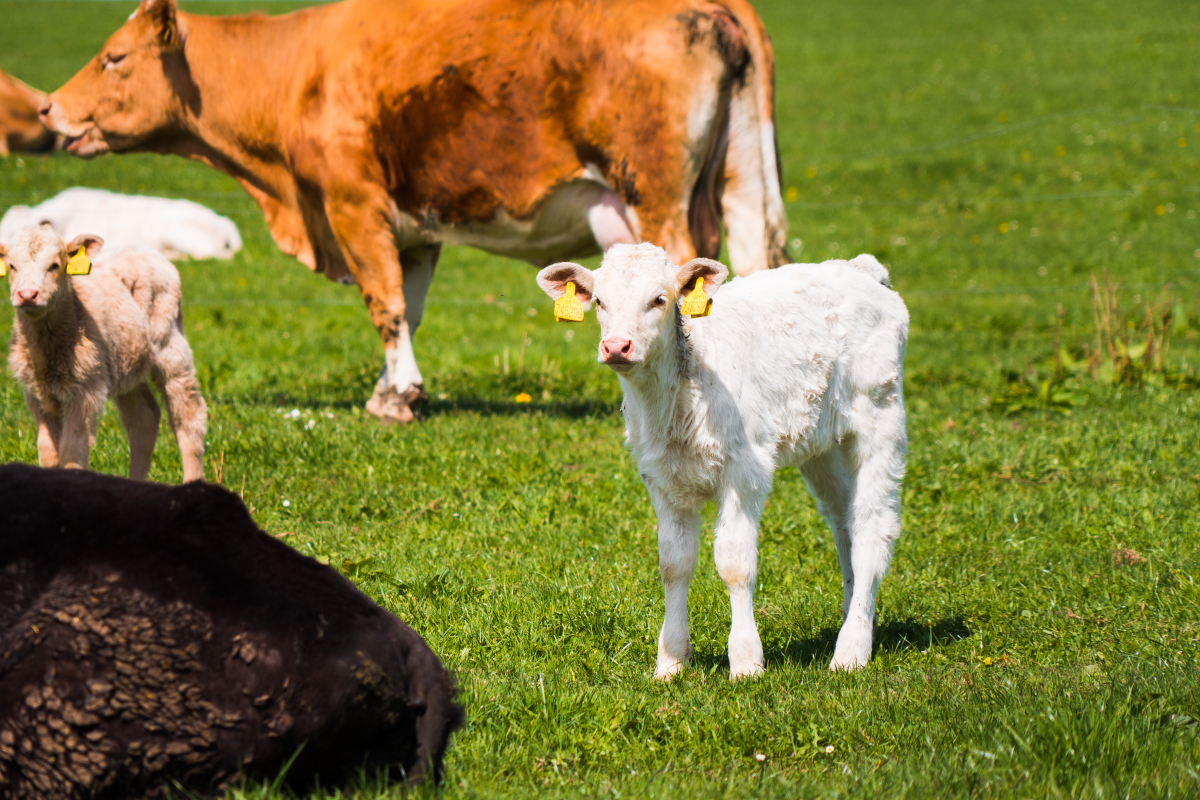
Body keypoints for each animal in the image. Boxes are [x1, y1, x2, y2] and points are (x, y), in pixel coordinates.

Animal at [41, 0, 790, 424]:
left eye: (113, 58)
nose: (47, 107)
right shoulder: (414, 229)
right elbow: (411, 304)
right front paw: (390, 388)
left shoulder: (354, 205)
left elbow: (386, 303)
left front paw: (399, 397)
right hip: (740, 187)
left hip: (654, 197)